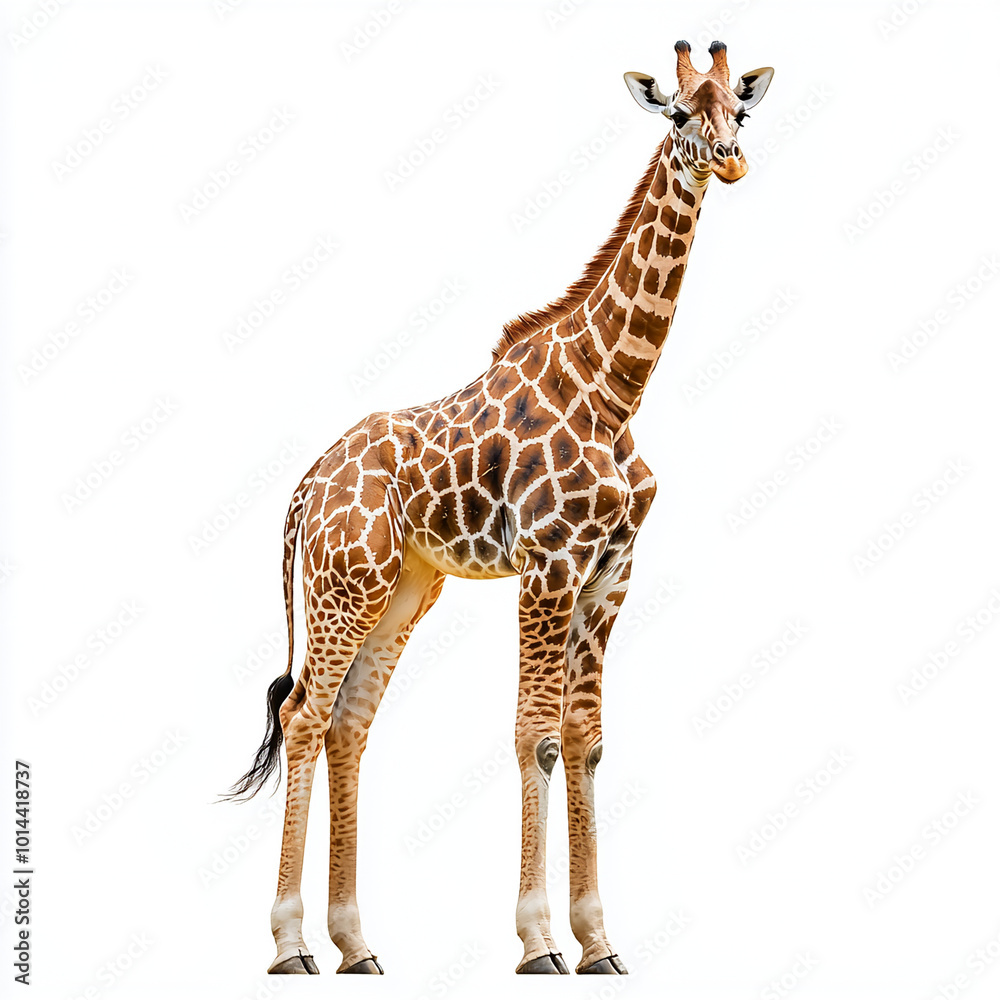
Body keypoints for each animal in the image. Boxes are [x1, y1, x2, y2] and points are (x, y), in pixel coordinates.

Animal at [225, 40, 773, 976]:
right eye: (676, 114)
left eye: (738, 110)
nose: (731, 160)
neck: (615, 388)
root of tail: (305, 488)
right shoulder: (549, 563)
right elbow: (537, 737)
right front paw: (539, 942)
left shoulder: (611, 570)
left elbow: (588, 741)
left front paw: (600, 943)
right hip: (343, 588)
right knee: (303, 715)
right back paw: (292, 945)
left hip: (403, 590)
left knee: (347, 725)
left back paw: (357, 945)